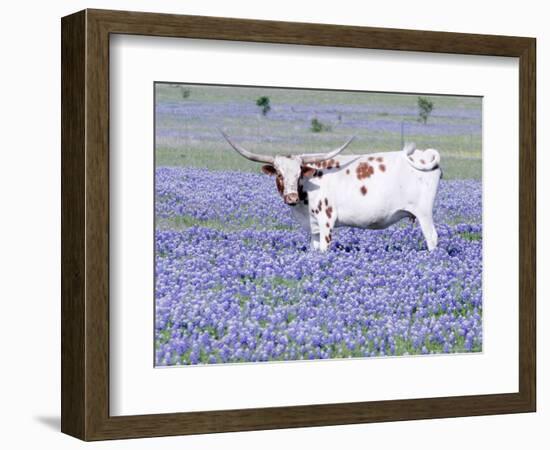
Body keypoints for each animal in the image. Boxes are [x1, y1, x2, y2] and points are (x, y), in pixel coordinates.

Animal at [222, 131, 442, 253]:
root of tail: (423, 154)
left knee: (432, 238)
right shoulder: (313, 227)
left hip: (424, 213)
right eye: (279, 174)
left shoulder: (326, 221)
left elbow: (325, 249)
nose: (291, 197)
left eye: (298, 173)